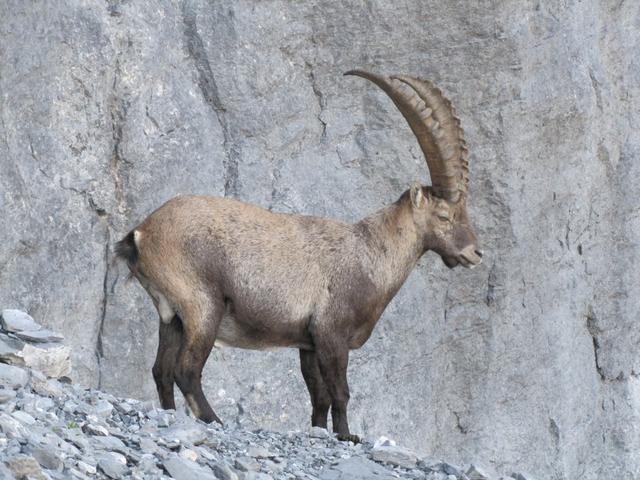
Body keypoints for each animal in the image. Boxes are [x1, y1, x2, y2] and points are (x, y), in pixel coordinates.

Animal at [115, 70, 482, 442]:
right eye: (444, 216)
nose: (475, 252)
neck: (369, 253)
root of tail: (142, 233)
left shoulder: (307, 343)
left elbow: (319, 397)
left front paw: (320, 431)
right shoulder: (332, 333)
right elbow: (341, 392)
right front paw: (347, 435)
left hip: (171, 314)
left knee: (161, 370)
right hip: (202, 305)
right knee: (186, 369)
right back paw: (214, 419)